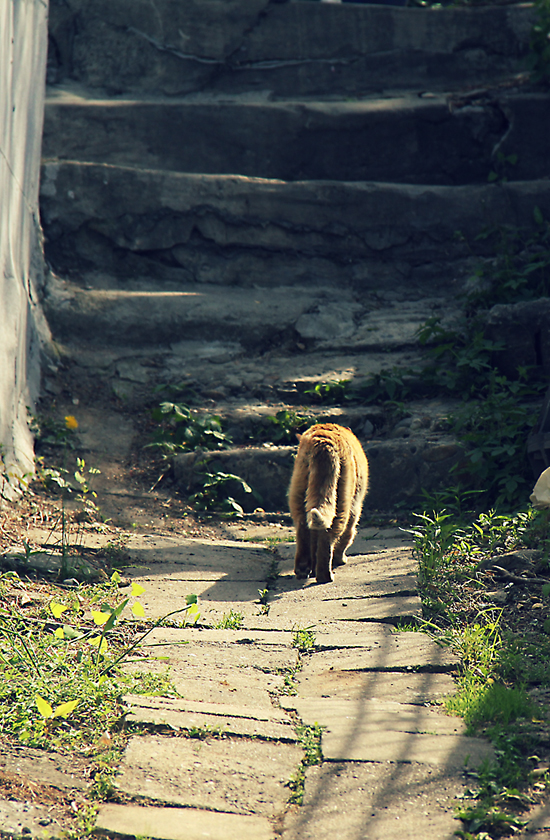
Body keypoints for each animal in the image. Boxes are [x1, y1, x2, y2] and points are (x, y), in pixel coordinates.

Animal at [288, 424, 370, 580]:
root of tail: (323, 442)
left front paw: (312, 568)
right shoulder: (355, 508)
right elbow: (348, 535)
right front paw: (339, 559)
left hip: (298, 494)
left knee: (303, 531)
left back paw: (302, 570)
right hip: (342, 503)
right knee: (329, 536)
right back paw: (324, 576)